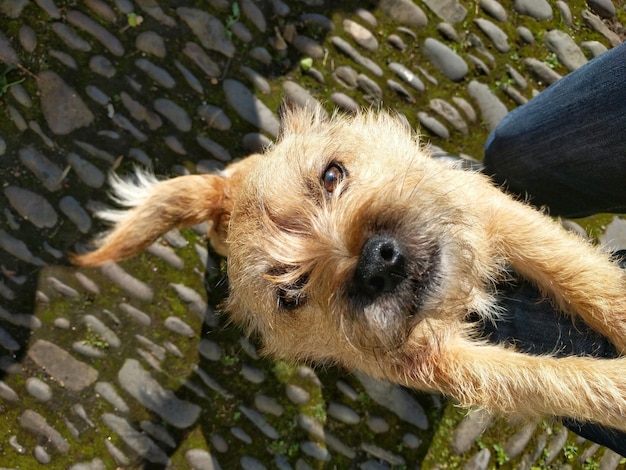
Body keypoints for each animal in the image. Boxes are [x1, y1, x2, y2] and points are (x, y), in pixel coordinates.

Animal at [74, 106, 626, 434]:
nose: (376, 261)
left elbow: (578, 273)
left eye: (332, 174)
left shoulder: (490, 210)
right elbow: (552, 379)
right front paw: (614, 385)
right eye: (292, 293)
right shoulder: (440, 363)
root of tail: (222, 195)